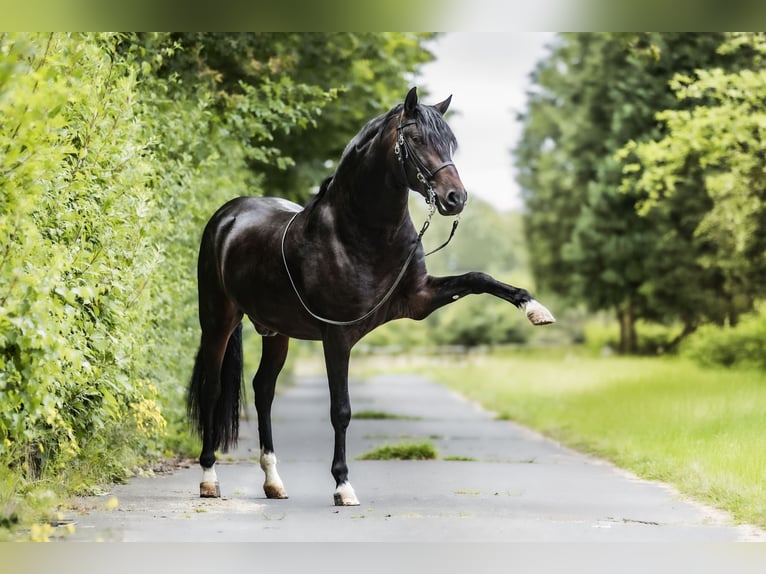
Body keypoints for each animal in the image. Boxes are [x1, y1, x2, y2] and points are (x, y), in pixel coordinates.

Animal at [189, 86, 556, 508]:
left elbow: (479, 278)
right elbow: (341, 410)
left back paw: (273, 482)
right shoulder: (337, 335)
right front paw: (343, 485)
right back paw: (209, 478)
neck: (360, 233)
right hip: (218, 319)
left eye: (450, 142)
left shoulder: (419, 300)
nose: (455, 198)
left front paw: (535, 308)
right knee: (213, 388)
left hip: (276, 331)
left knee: (264, 390)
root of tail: (228, 215)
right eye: (417, 139)